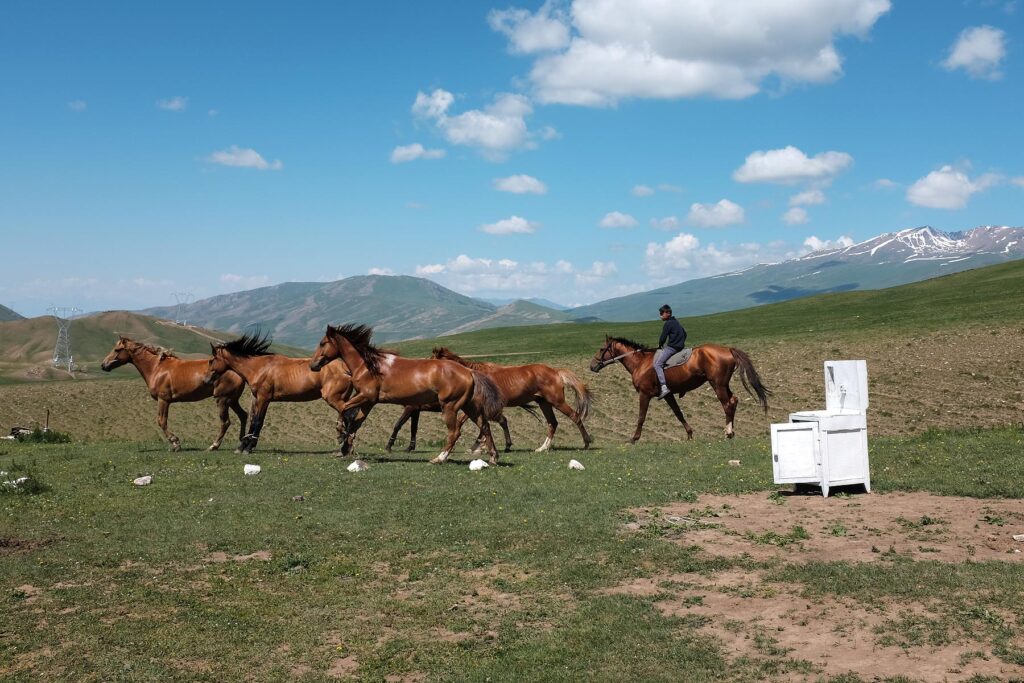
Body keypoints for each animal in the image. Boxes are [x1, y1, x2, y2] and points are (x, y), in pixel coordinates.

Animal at [101, 336, 248, 452]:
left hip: (222, 400)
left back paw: (214, 446)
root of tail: (236, 370)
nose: (103, 365)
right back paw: (241, 443)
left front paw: (175, 443)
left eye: (117, 350)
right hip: (232, 401)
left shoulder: (163, 400)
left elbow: (161, 421)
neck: (157, 368)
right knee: (243, 416)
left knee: (226, 422)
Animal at [203, 333, 353, 454]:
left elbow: (257, 421)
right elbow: (255, 420)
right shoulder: (260, 399)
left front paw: (247, 447)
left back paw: (345, 444)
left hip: (333, 398)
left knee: (348, 414)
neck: (258, 367)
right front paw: (243, 446)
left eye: (211, 360)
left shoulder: (263, 398)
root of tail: (345, 368)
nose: (206, 380)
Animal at [308, 324, 505, 465]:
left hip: (450, 406)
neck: (368, 367)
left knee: (455, 432)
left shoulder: (366, 396)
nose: (313, 365)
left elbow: (344, 409)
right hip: (469, 407)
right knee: (485, 426)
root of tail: (469, 371)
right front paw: (345, 447)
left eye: (322, 343)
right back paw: (493, 457)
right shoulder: (369, 402)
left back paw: (438, 458)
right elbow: (356, 422)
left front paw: (340, 435)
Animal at [385, 347, 591, 453]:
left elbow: (468, 423)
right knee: (552, 423)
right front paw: (482, 445)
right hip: (544, 403)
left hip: (556, 402)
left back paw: (586, 443)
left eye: (432, 360)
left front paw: (476, 446)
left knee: (575, 416)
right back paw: (542, 448)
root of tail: (556, 372)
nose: (422, 373)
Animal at [590, 336, 771, 443]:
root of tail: (727, 349)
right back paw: (731, 431)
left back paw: (728, 432)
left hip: (717, 385)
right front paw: (689, 434)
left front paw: (634, 438)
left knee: (727, 405)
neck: (640, 363)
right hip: (723, 384)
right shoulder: (668, 395)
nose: (592, 366)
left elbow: (641, 416)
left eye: (601, 349)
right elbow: (678, 413)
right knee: (733, 400)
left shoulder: (644, 394)